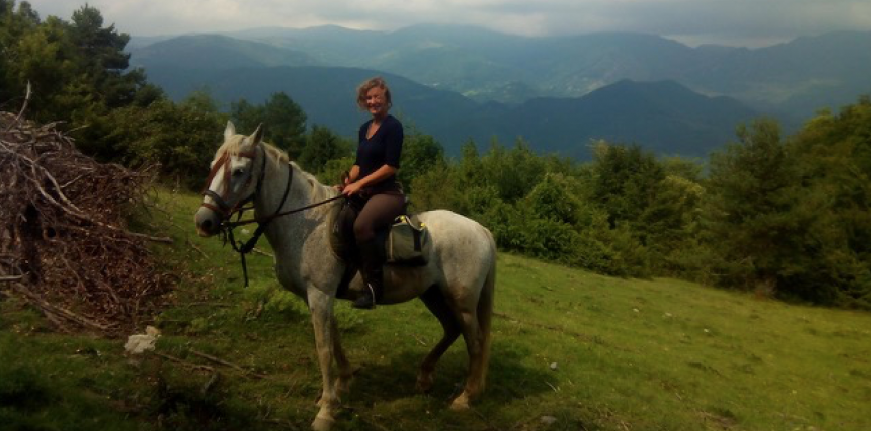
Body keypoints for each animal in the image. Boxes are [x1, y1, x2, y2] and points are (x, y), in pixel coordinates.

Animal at [197, 122, 498, 431]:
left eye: (239, 171)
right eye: (212, 165)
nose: (204, 221)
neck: (306, 223)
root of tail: (481, 230)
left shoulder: (319, 294)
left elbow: (324, 348)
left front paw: (326, 411)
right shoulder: (317, 296)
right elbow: (335, 339)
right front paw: (342, 385)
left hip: (462, 302)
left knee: (475, 342)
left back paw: (465, 397)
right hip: (433, 294)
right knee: (452, 329)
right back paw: (425, 378)